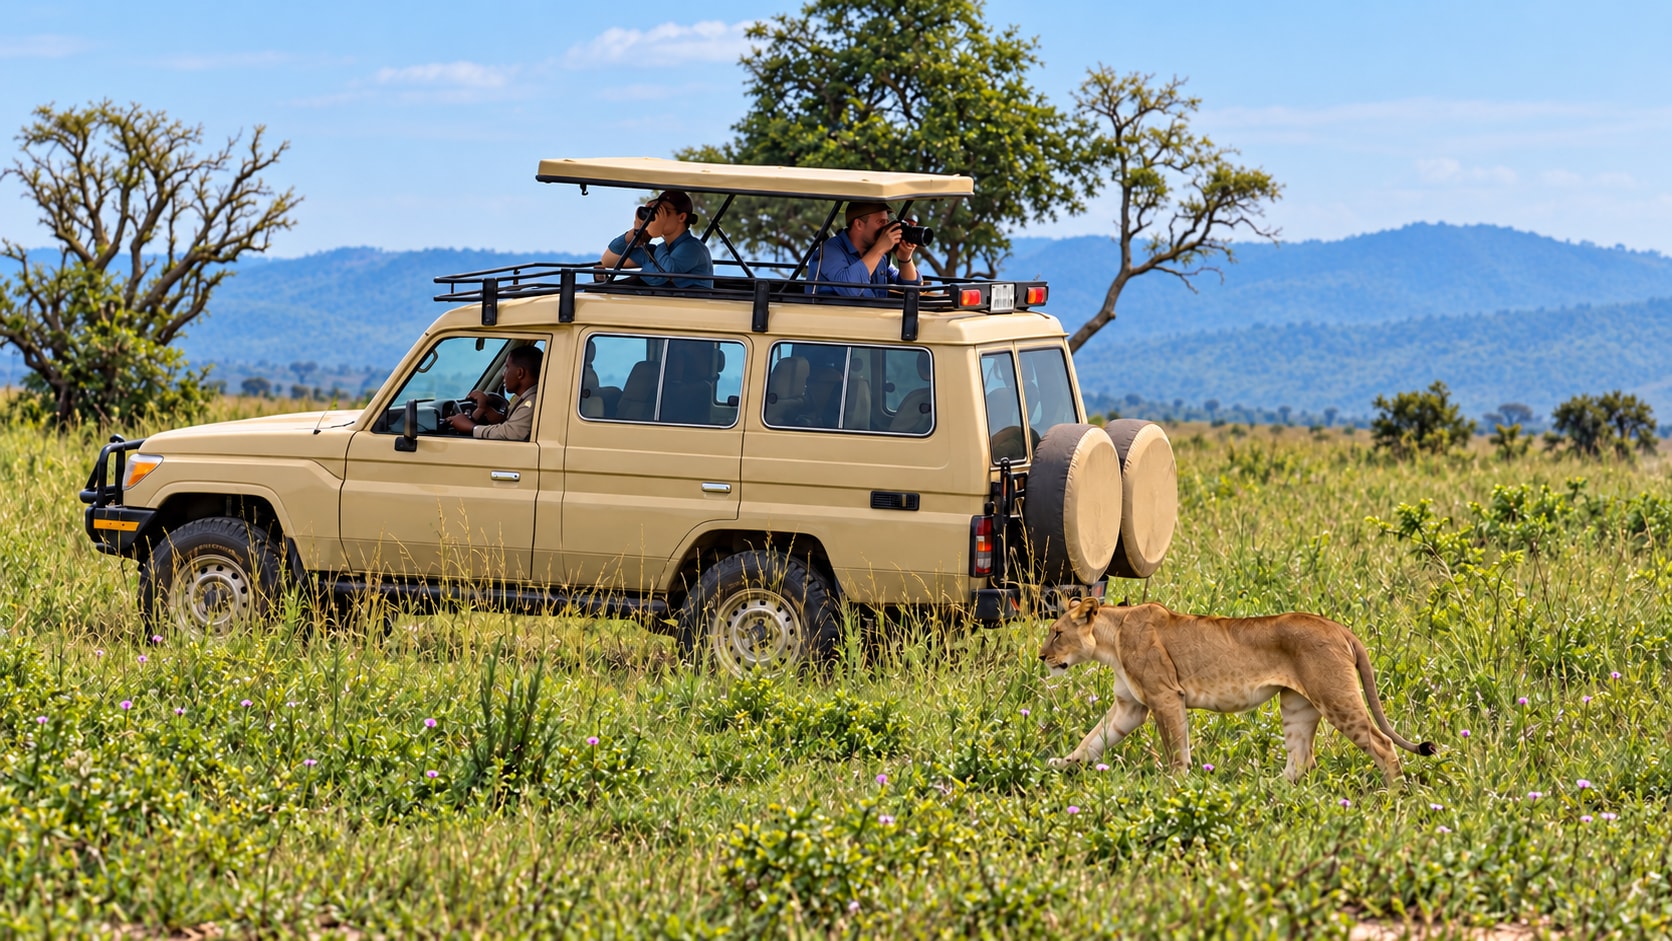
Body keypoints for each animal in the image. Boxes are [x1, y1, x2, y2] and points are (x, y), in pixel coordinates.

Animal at [1038, 598, 1436, 784]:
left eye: (1057, 632)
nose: (1041, 656)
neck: (1112, 638)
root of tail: (1340, 628)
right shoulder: (1129, 706)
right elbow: (1093, 740)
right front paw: (1061, 764)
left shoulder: (1166, 695)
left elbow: (1176, 748)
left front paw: (1175, 784)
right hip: (1297, 705)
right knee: (1301, 759)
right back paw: (1267, 791)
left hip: (1335, 696)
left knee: (1381, 745)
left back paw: (1396, 794)